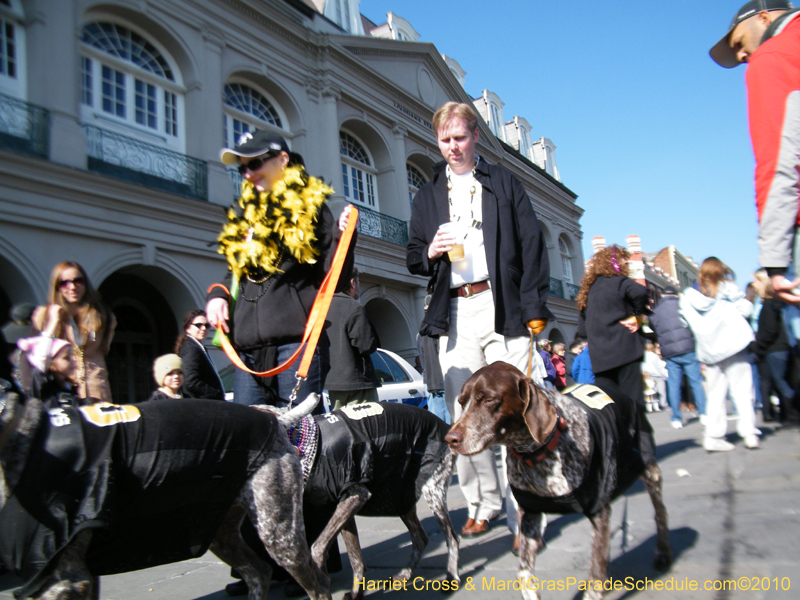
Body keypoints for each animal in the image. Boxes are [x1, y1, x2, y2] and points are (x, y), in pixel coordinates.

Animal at [446, 360, 672, 600]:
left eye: (489, 399)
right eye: (461, 402)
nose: (450, 439)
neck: (537, 453)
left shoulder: (599, 512)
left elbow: (595, 578)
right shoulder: (530, 513)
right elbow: (524, 573)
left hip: (649, 470)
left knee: (660, 513)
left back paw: (663, 553)